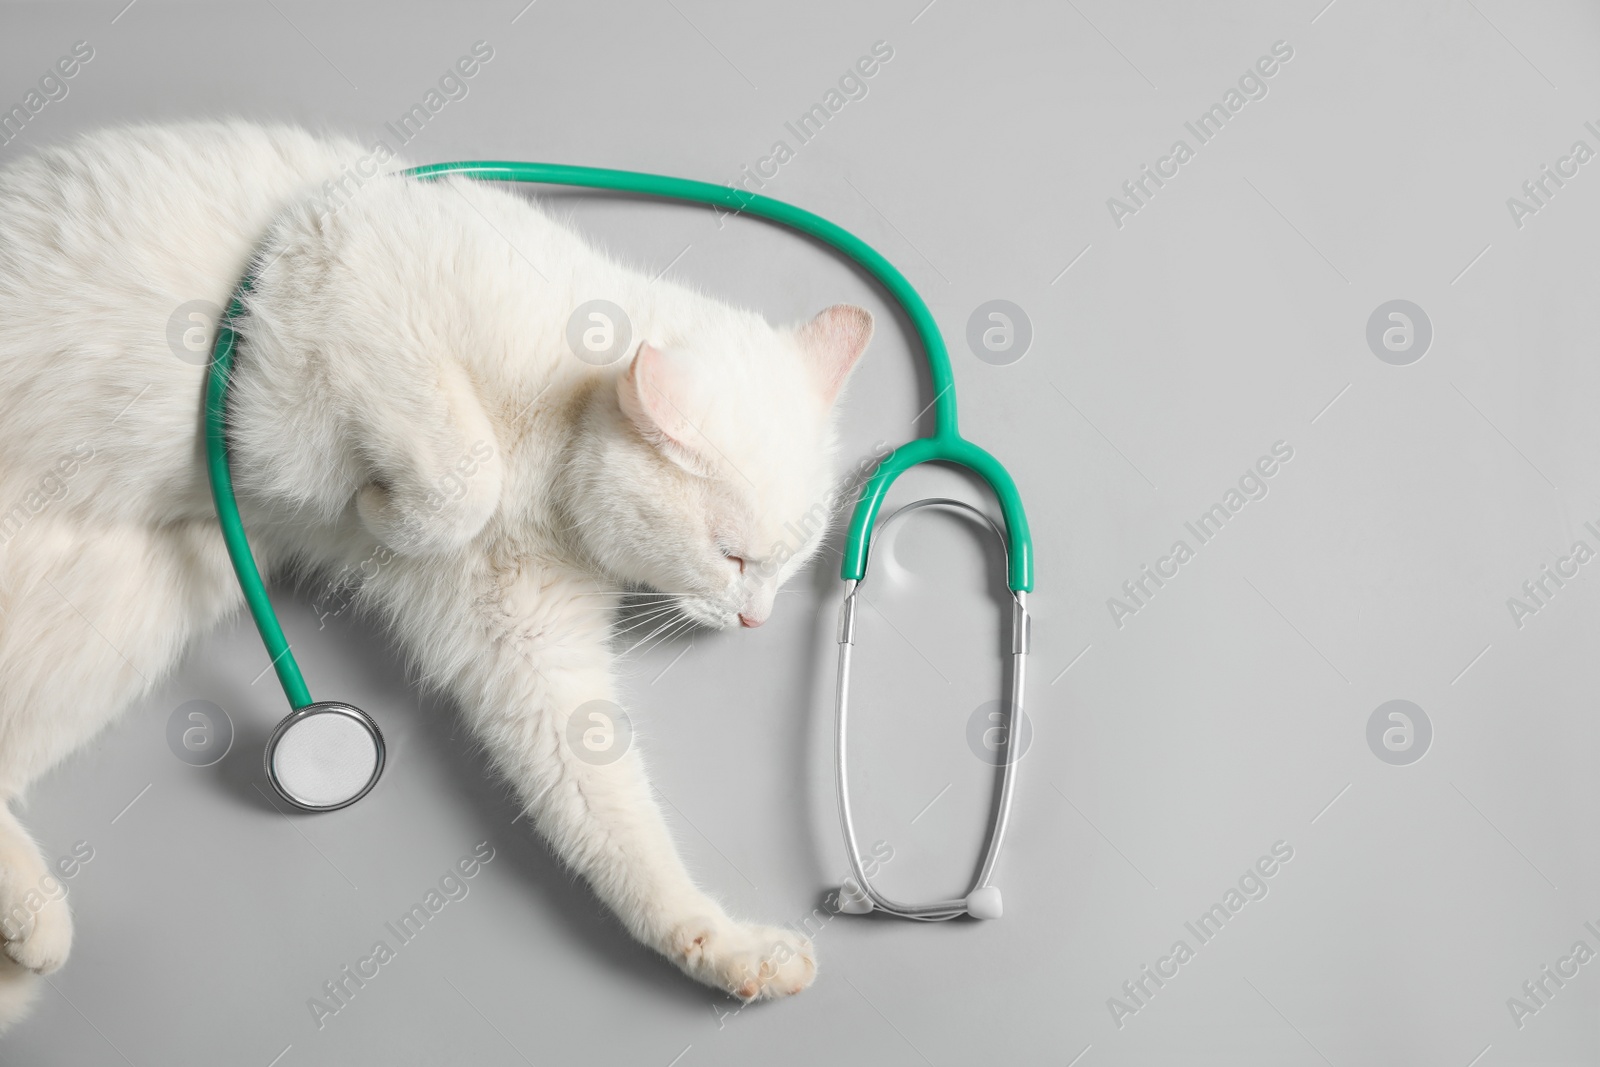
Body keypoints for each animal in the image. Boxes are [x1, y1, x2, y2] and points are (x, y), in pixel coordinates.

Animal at [0, 119, 876, 1023]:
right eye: (732, 556)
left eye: (793, 561)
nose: (756, 619)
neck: (555, 441)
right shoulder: (346, 278)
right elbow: (463, 472)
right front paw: (380, 506)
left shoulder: (520, 637)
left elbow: (609, 818)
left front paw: (718, 943)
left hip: (120, 615)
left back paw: (31, 925)